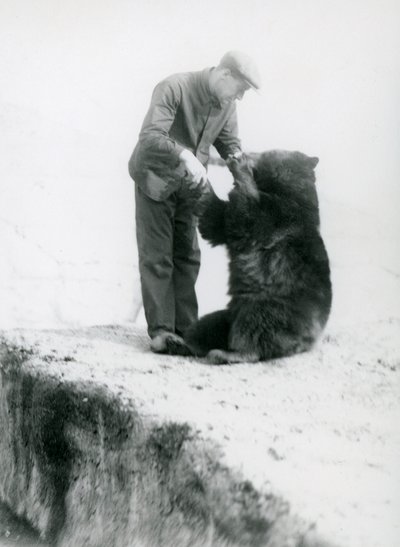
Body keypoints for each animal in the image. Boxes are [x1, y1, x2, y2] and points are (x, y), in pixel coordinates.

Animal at [166, 150, 332, 364]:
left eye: (265, 152)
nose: (240, 153)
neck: (286, 189)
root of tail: (309, 342)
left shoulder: (279, 216)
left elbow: (246, 217)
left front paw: (239, 167)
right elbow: (216, 219)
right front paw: (199, 177)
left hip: (272, 308)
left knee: (255, 327)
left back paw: (227, 353)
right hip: (229, 314)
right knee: (208, 326)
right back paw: (176, 343)